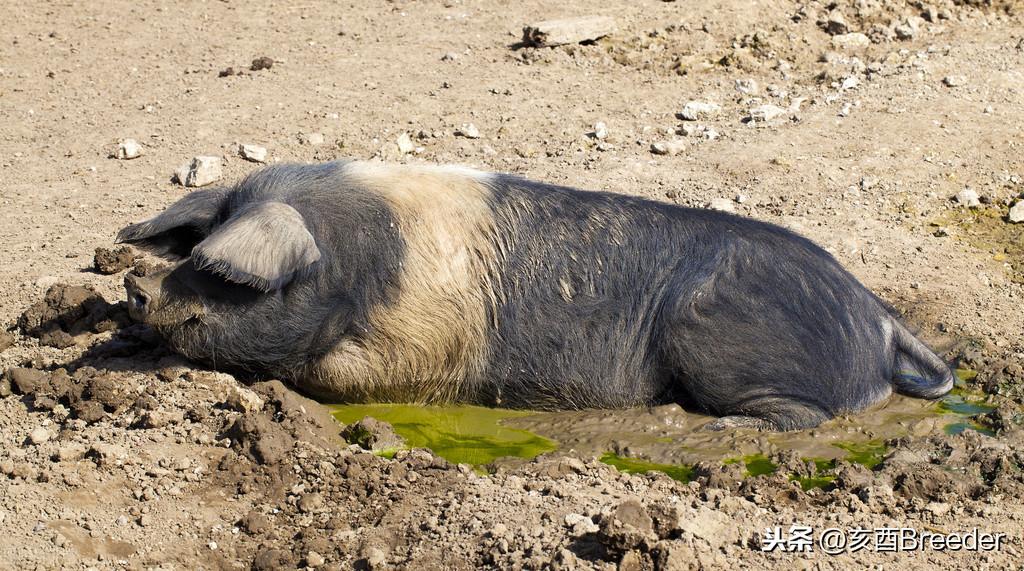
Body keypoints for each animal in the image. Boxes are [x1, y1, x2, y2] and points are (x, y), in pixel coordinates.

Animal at [116, 161, 954, 429]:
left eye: (225, 275)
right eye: (197, 248)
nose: (135, 284)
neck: (366, 273)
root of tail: (879, 316)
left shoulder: (414, 355)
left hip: (724, 343)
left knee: (801, 416)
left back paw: (701, 424)